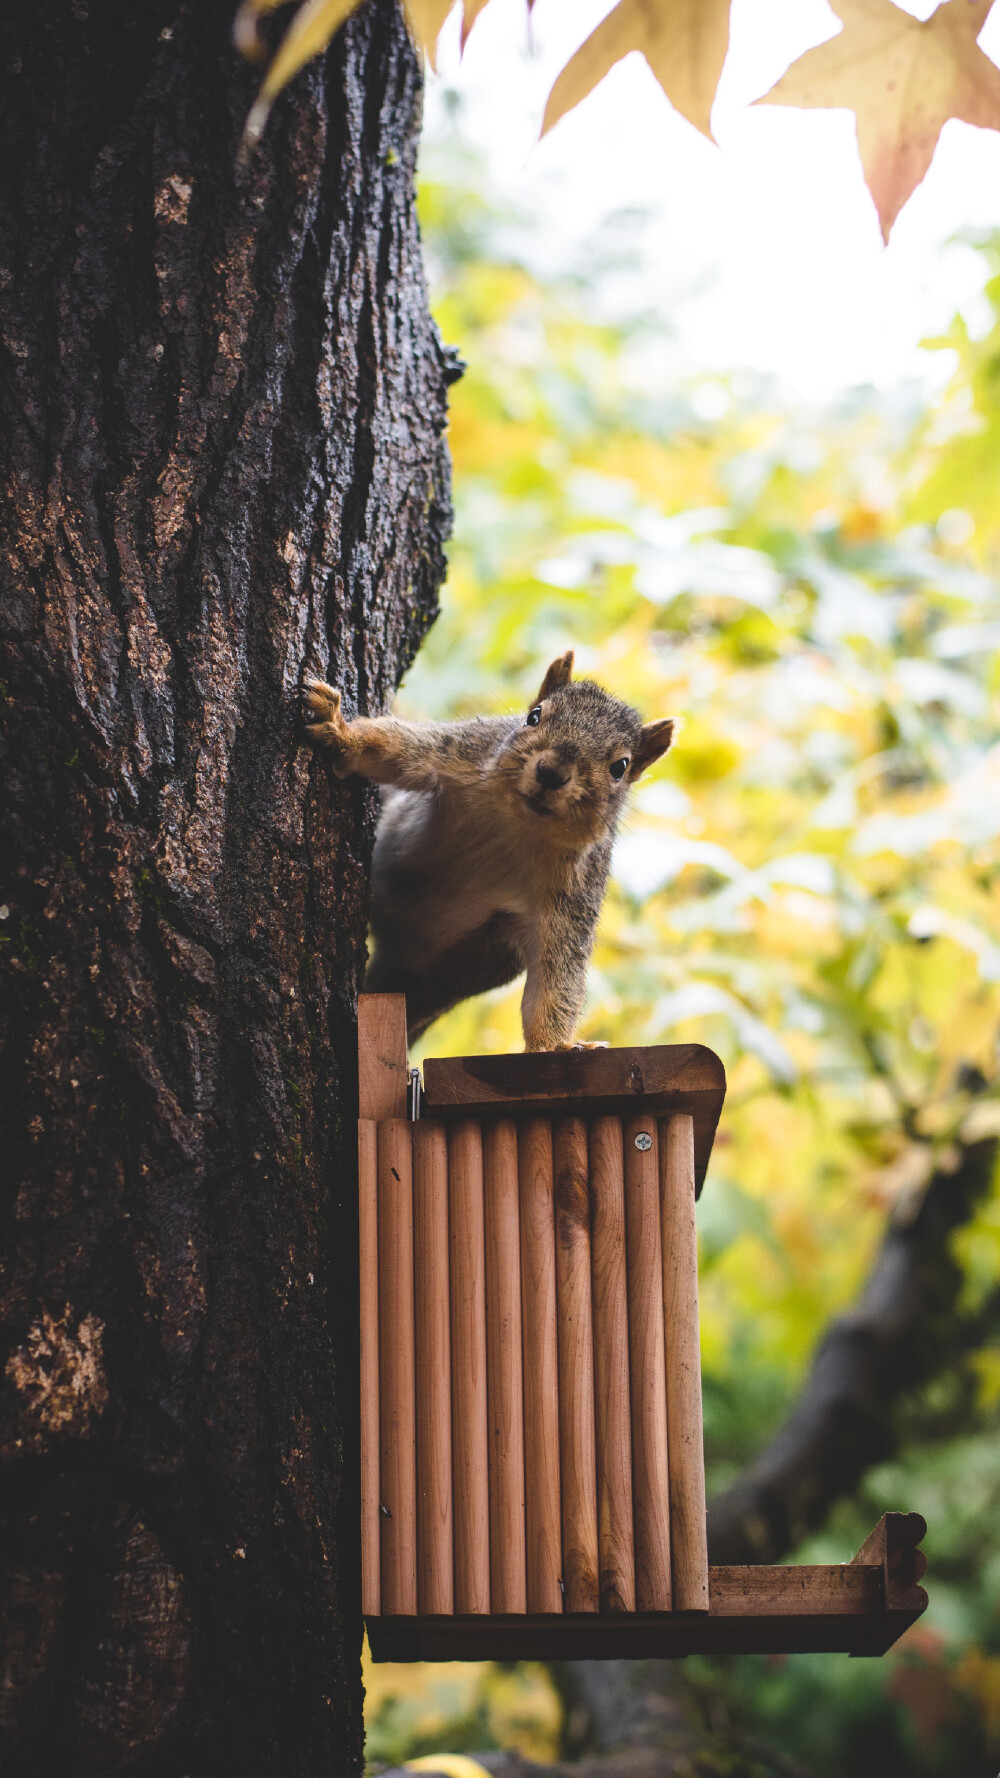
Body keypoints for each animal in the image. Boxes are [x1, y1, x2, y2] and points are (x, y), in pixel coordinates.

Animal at [302, 654, 669, 1045]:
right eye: (534, 716)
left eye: (620, 767)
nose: (551, 772)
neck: (519, 825)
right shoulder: (461, 752)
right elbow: (391, 749)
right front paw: (337, 727)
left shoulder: (574, 899)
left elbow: (557, 978)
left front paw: (555, 1046)